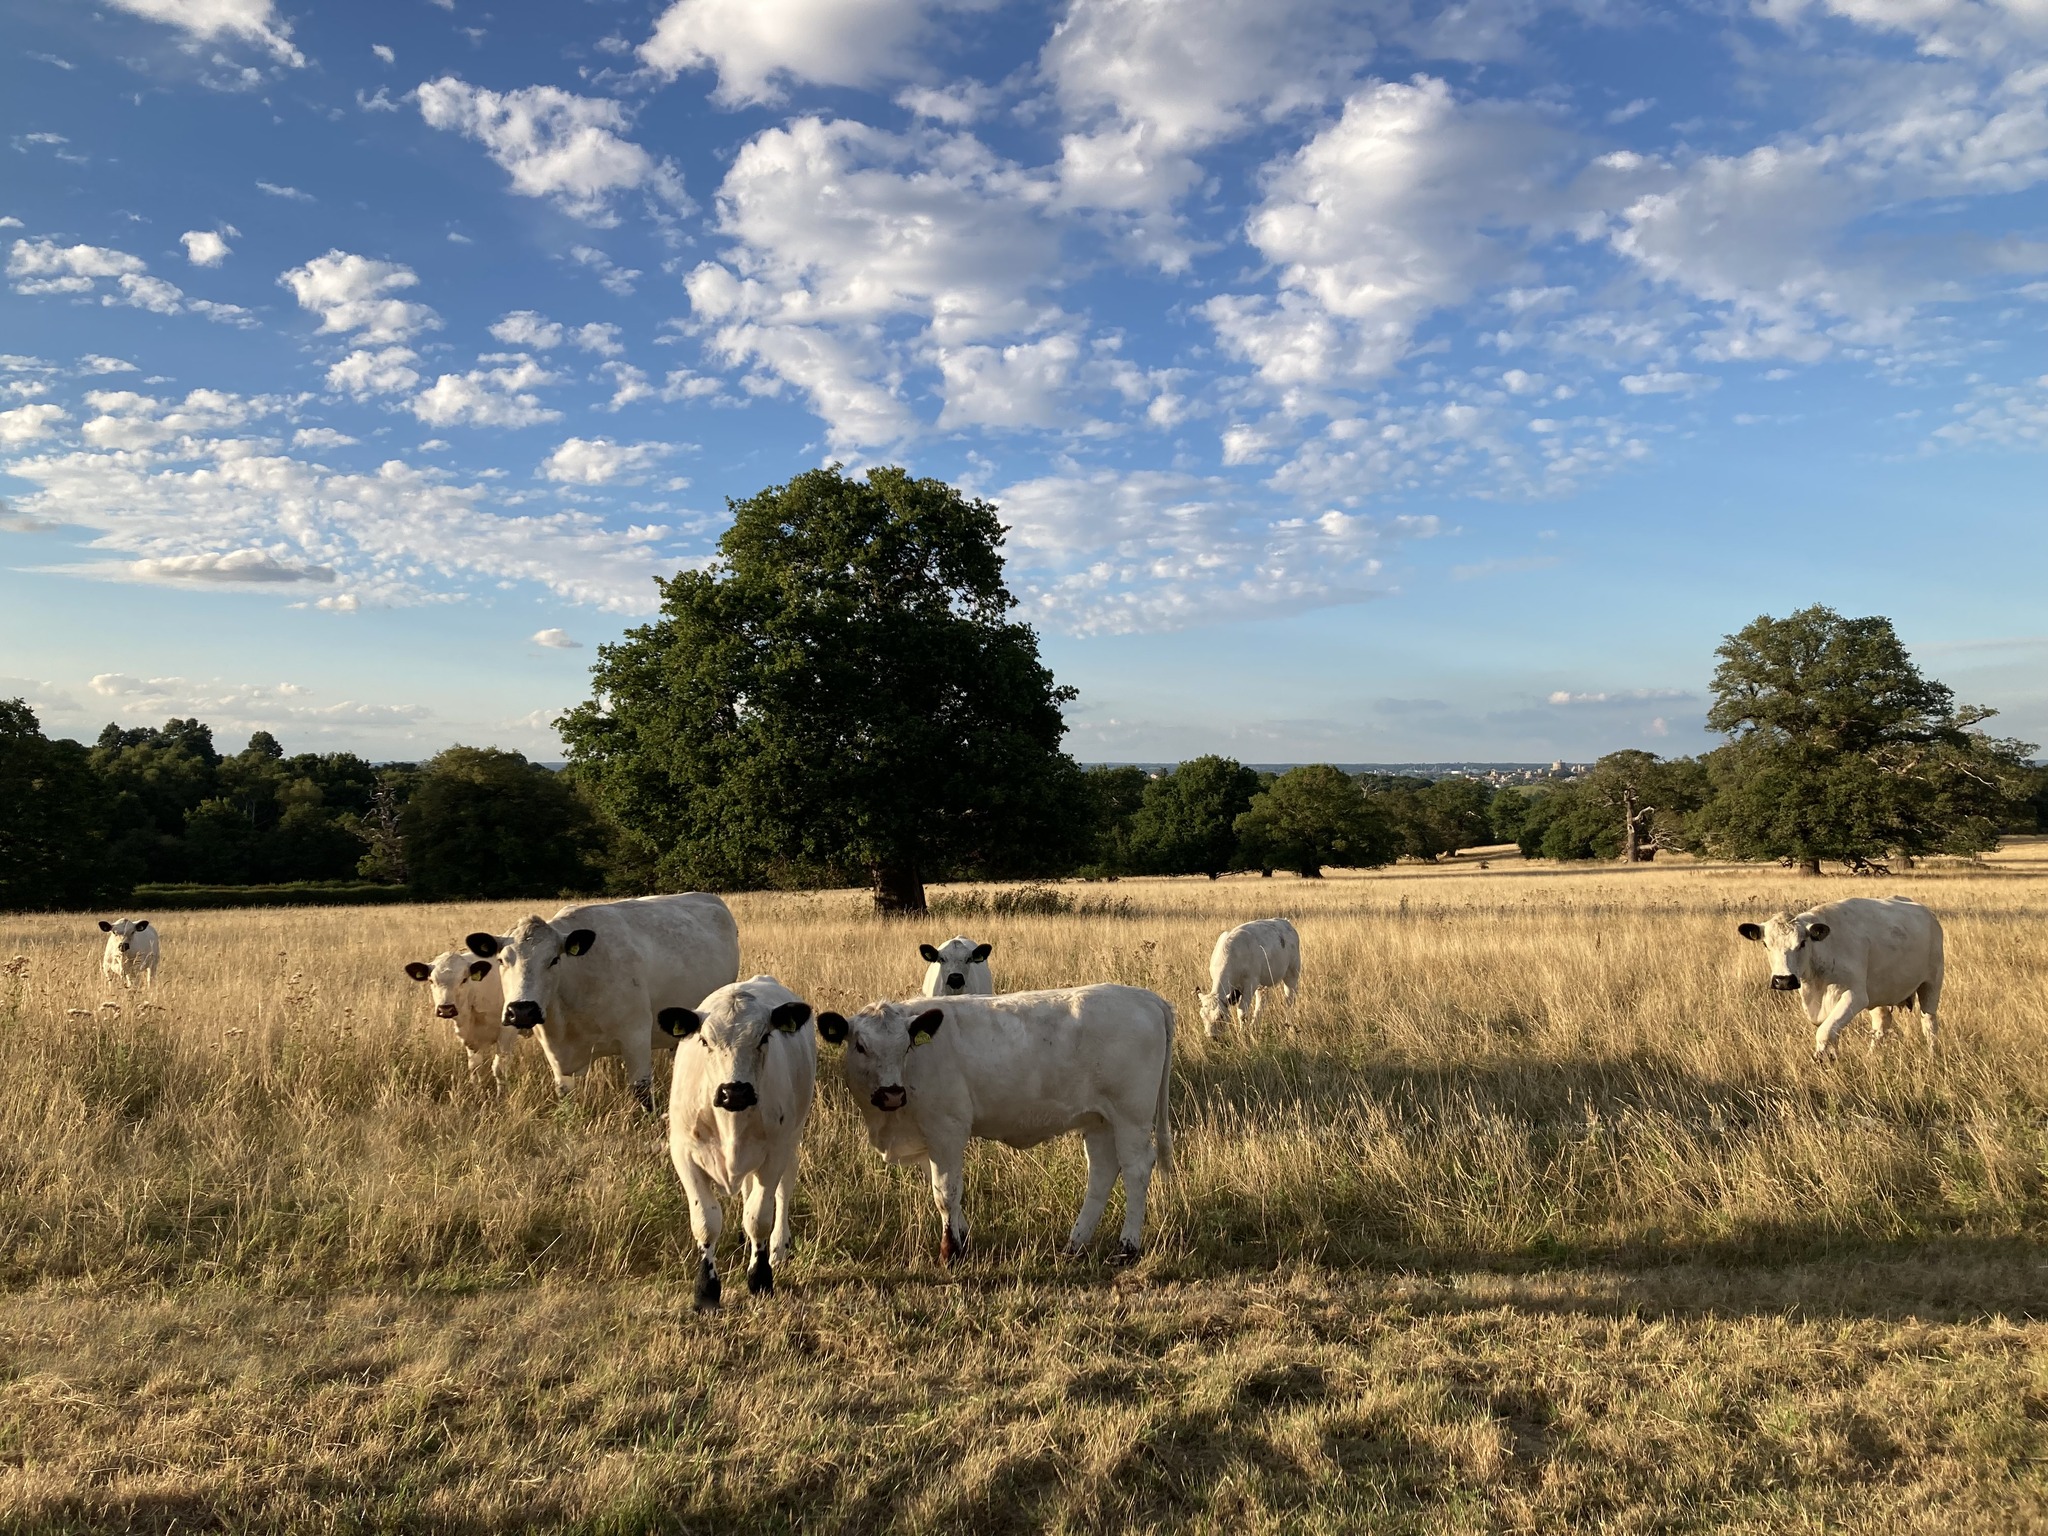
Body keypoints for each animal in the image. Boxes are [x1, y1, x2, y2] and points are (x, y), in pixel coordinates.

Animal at [397, 950, 516, 1081]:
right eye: (431, 981)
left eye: (464, 980)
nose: (445, 1009)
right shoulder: (471, 1039)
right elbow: (474, 1068)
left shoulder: (508, 1032)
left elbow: (499, 1069)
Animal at [468, 888, 741, 1122]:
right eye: (501, 960)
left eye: (554, 960)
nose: (522, 1011)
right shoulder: (555, 1052)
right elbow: (564, 1094)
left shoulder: (636, 1035)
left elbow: (642, 1091)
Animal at [655, 974, 815, 1310]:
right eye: (704, 1041)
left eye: (764, 1038)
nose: (734, 1092)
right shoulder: (683, 1154)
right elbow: (706, 1221)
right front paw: (705, 1290)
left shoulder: (774, 1154)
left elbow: (759, 1217)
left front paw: (760, 1277)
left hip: (792, 1139)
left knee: (782, 1191)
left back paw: (777, 1246)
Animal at [815, 991, 1171, 1269]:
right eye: (860, 1046)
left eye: (906, 1046)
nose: (891, 1093)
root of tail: (1144, 997)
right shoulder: (926, 1139)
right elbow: (943, 1190)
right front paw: (962, 1238)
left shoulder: (947, 1131)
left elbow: (946, 1193)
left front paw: (950, 1251)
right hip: (1099, 1120)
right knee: (1102, 1172)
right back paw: (1075, 1244)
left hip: (1131, 1117)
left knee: (1136, 1170)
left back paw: (1128, 1248)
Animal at [1736, 897, 1941, 1064]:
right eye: (1765, 944)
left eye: (1802, 943)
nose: (1783, 980)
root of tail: (1928, 913)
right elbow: (1831, 1031)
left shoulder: (1855, 996)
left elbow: (1825, 1031)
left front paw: (1821, 1057)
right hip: (1878, 995)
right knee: (1881, 1025)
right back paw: (1871, 1057)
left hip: (1931, 983)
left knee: (1929, 1023)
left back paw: (1932, 1057)